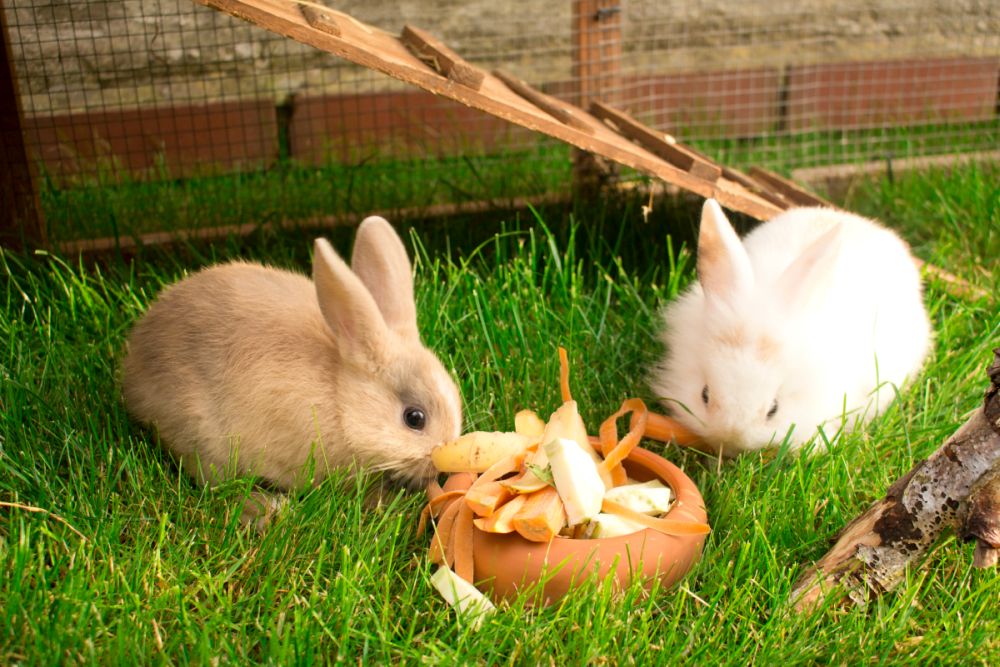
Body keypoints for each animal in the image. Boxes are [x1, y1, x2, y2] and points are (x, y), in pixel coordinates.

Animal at [121, 219, 460, 512]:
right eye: (414, 418)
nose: (442, 461)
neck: (341, 398)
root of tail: (133, 366)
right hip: (204, 438)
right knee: (215, 485)